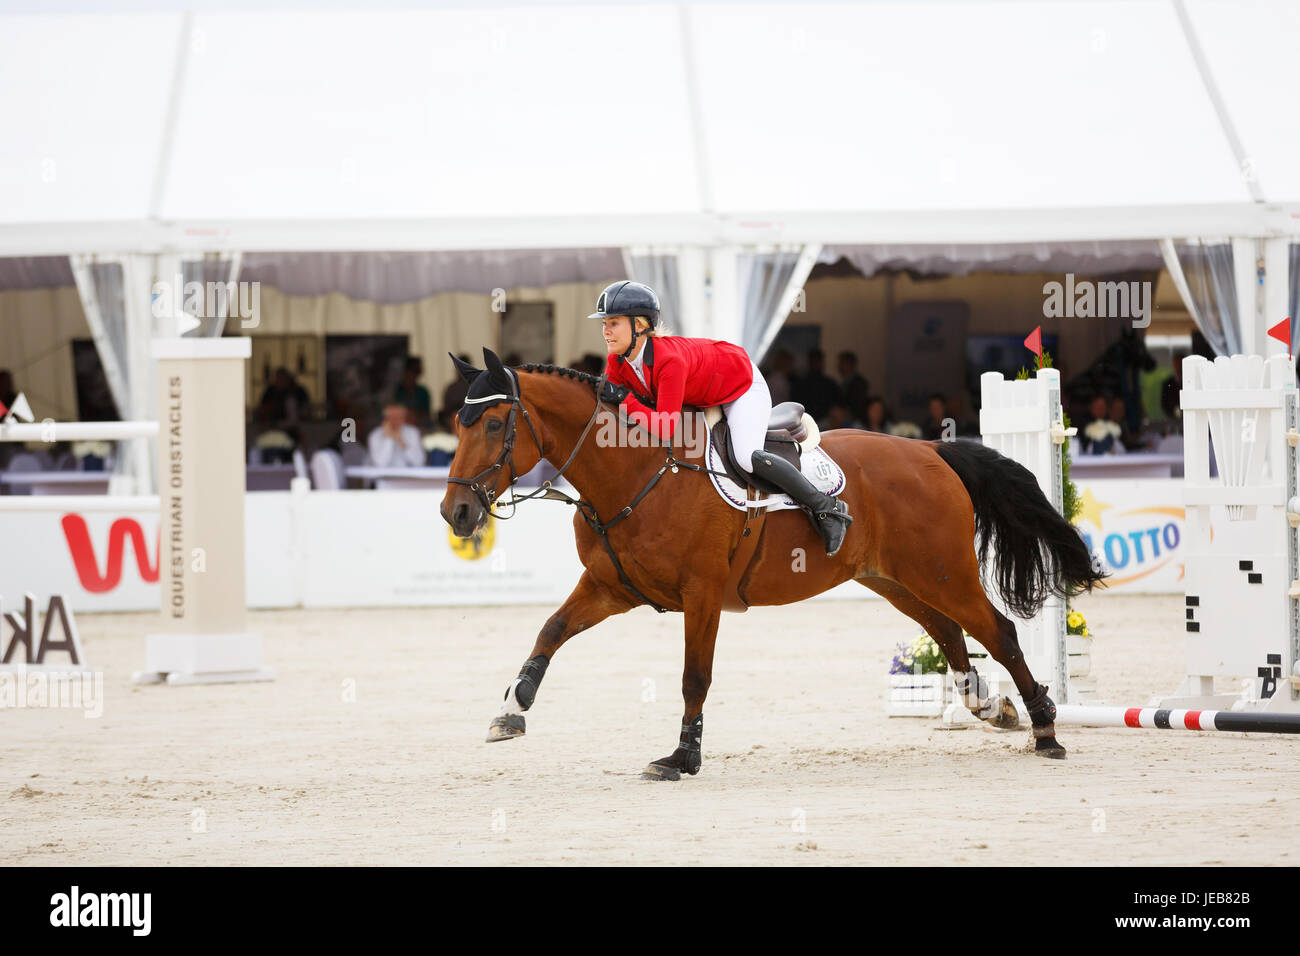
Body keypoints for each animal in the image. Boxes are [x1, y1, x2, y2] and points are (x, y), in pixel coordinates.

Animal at [441, 348, 1102, 780]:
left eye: (495, 423)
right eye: (457, 423)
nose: (457, 512)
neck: (631, 473)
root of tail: (930, 450)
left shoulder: (702, 593)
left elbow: (695, 677)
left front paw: (681, 758)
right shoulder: (611, 587)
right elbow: (550, 630)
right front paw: (511, 709)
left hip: (944, 571)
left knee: (998, 631)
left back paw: (1045, 729)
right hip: (894, 578)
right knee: (949, 633)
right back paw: (993, 708)